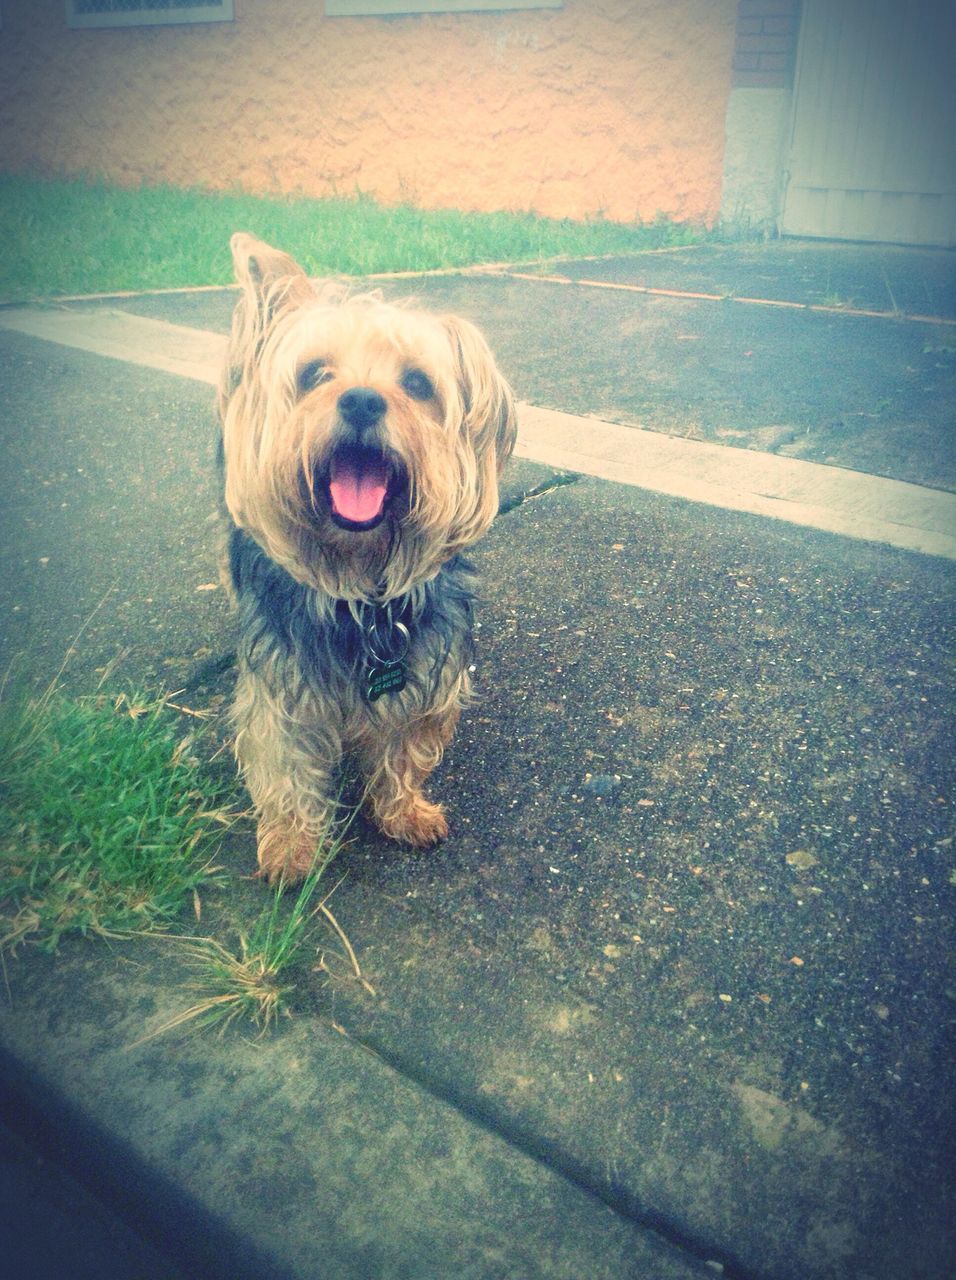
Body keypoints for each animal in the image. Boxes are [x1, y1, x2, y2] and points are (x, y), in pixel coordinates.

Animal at [218, 235, 517, 880]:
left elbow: (405, 745)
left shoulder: (425, 667)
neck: (359, 588)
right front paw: (291, 845)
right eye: (314, 374)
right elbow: (283, 759)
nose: (359, 401)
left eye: (418, 383)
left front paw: (404, 810)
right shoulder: (280, 678)